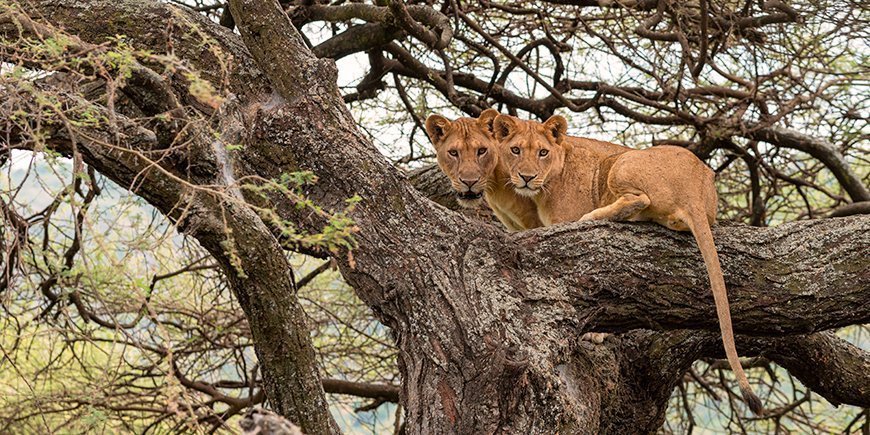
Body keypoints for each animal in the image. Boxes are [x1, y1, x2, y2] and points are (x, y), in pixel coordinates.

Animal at [493, 114, 763, 415]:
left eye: (543, 152)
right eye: (516, 150)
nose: (527, 178)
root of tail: (693, 189)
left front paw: (596, 334)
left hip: (622, 161)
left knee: (639, 199)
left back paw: (593, 216)